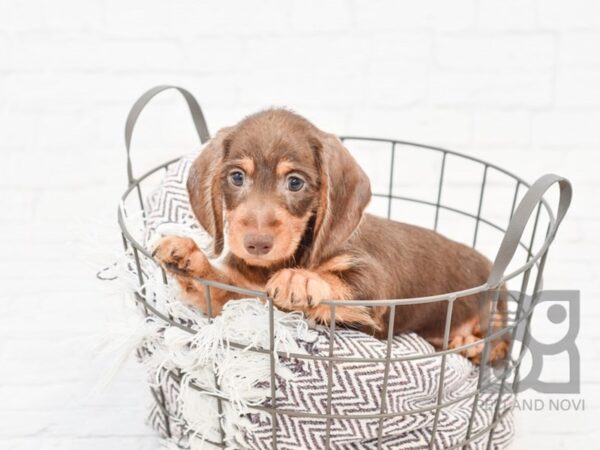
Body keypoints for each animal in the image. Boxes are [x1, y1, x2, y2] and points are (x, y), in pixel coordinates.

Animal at [152, 109, 508, 362]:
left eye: (295, 182)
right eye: (237, 177)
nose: (256, 244)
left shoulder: (373, 292)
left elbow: (337, 280)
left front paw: (300, 279)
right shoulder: (246, 296)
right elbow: (218, 287)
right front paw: (190, 259)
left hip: (494, 310)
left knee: (501, 343)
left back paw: (473, 343)